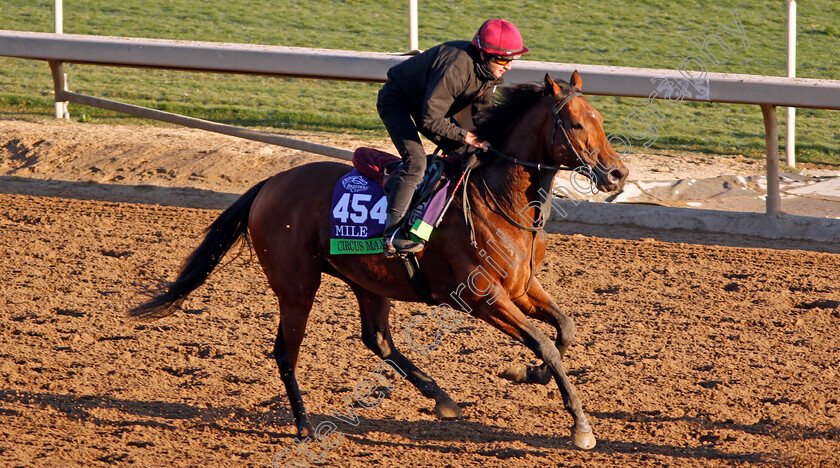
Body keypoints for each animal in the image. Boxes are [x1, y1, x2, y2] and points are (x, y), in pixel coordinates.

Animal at [130, 72, 632, 450]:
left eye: (600, 117)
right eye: (575, 123)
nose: (617, 173)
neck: (498, 199)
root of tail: (268, 184)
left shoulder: (522, 287)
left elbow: (564, 331)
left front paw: (528, 374)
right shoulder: (483, 297)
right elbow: (544, 342)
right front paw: (580, 426)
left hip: (367, 281)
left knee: (378, 340)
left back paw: (441, 398)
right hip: (296, 286)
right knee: (287, 351)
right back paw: (304, 426)